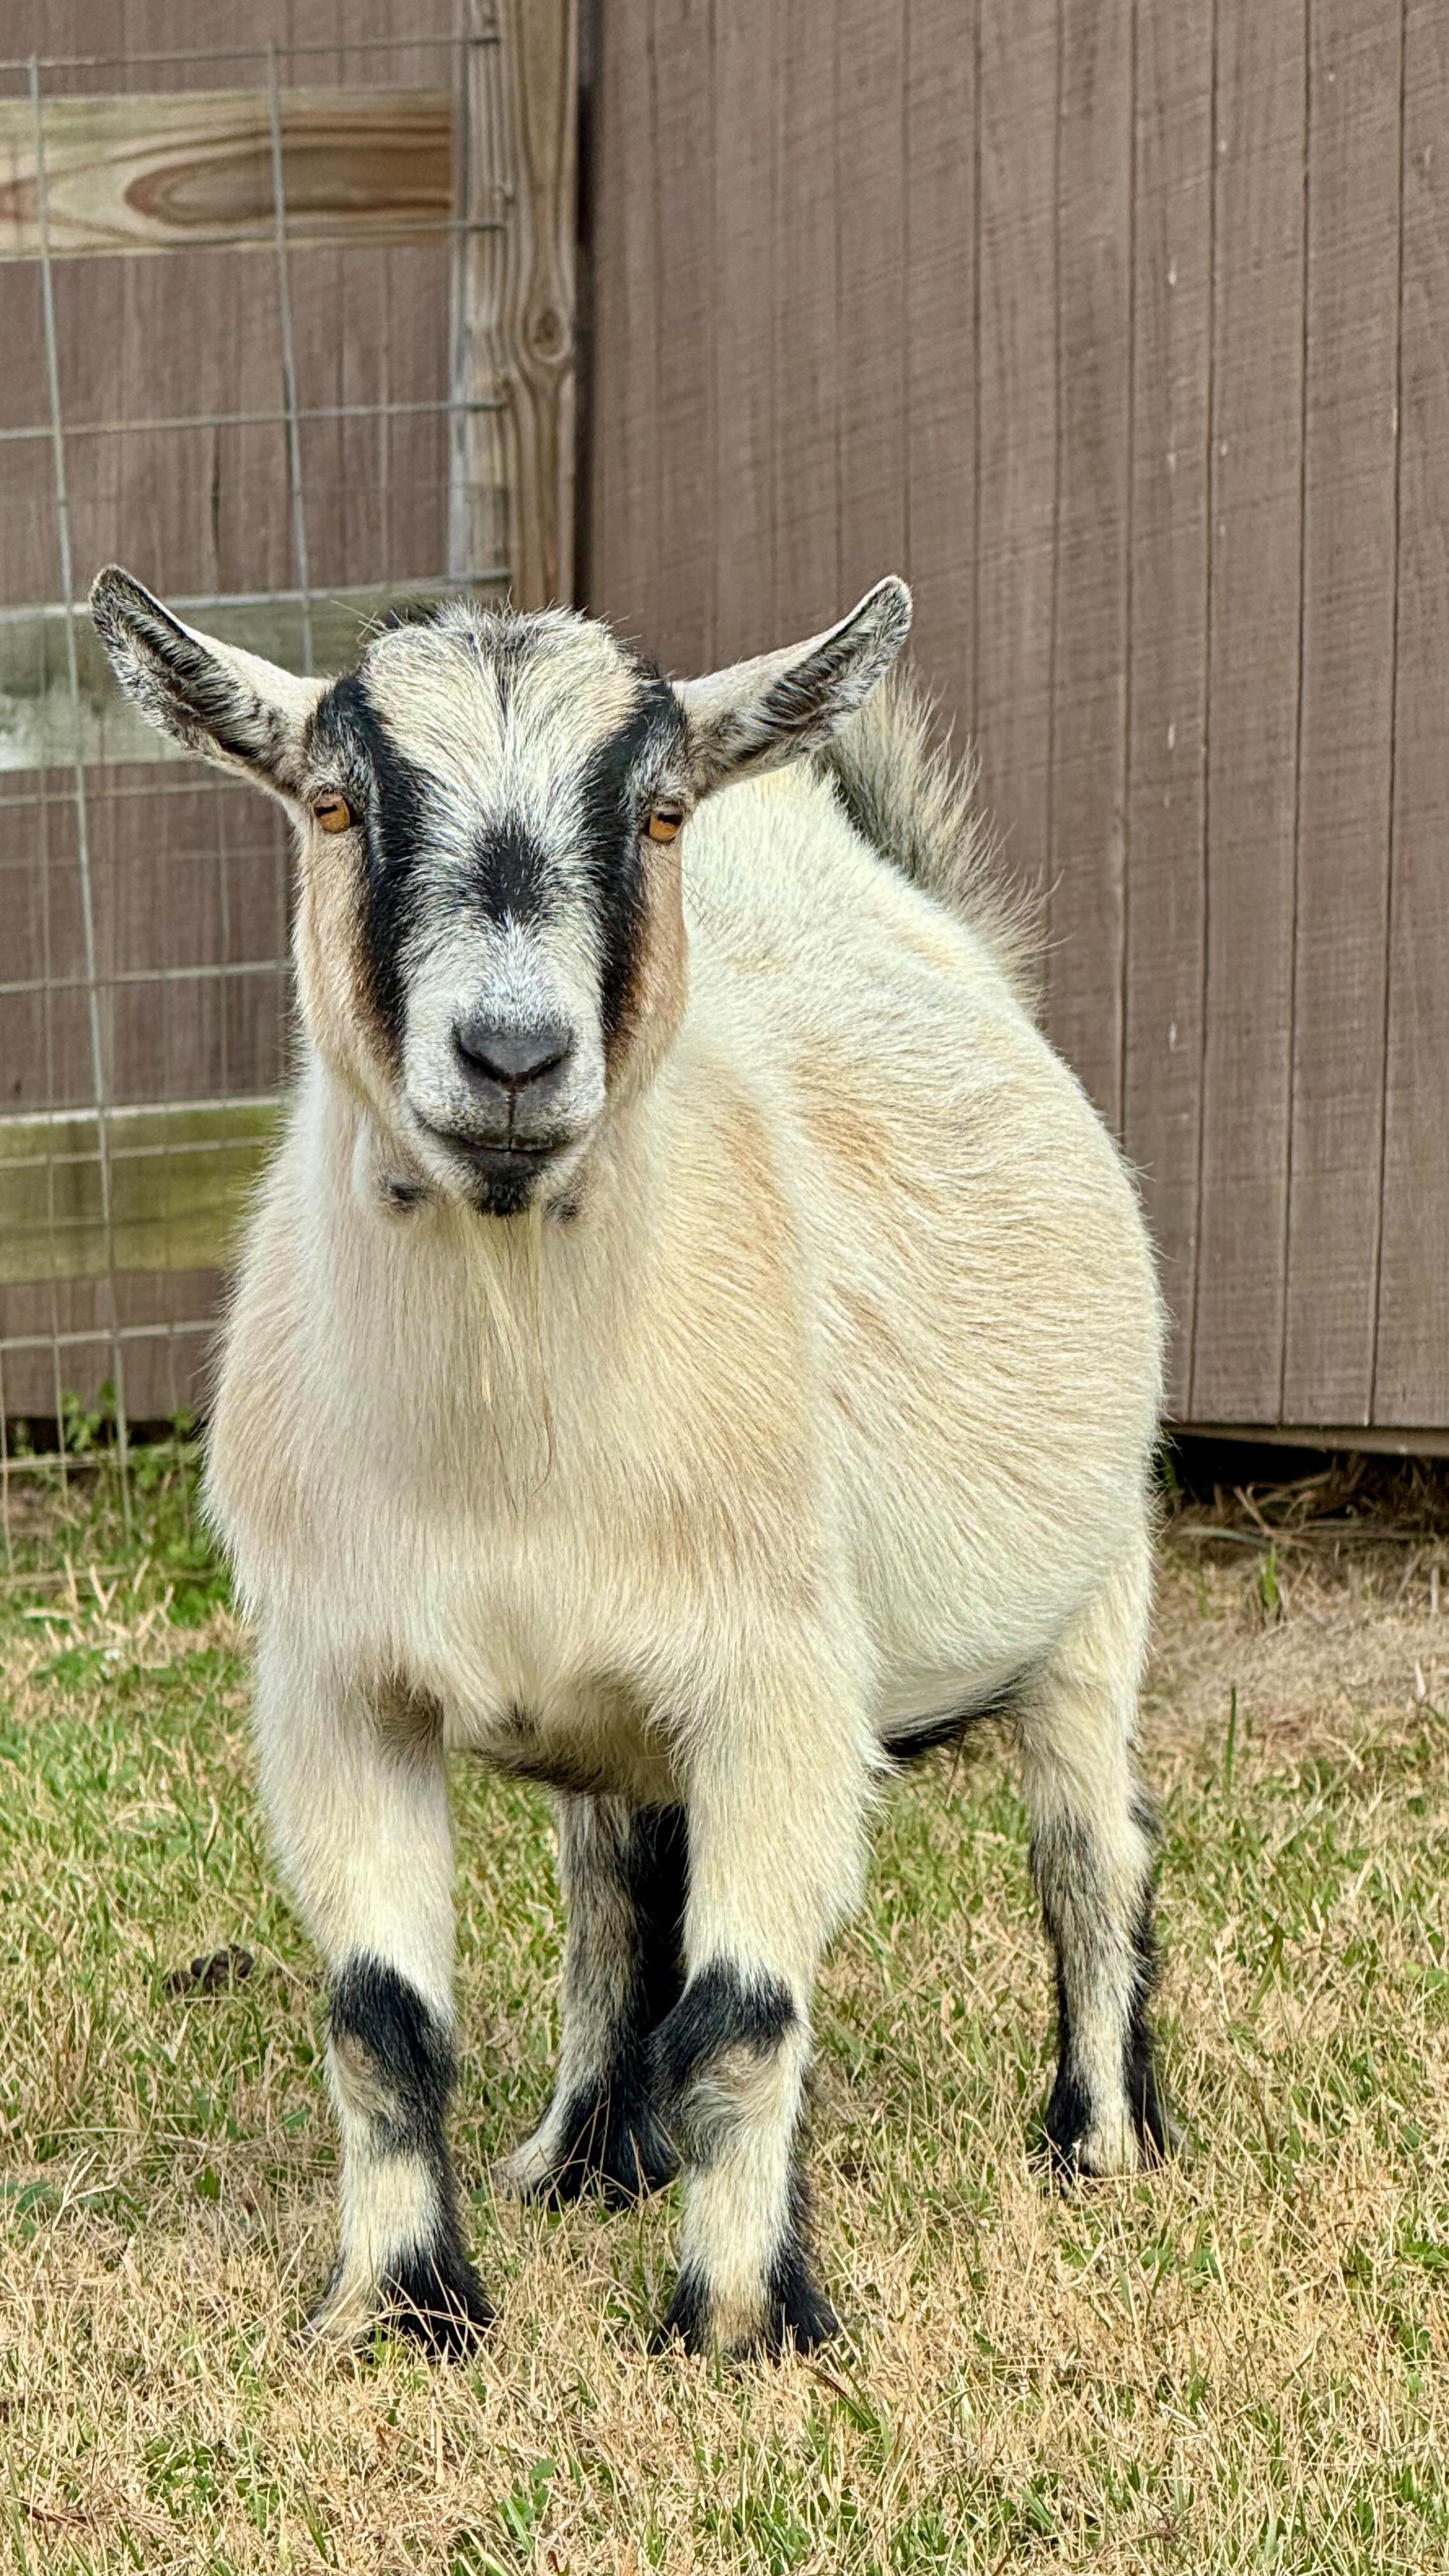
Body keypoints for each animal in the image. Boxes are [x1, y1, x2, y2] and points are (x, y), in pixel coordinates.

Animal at [91, 564, 1168, 2360]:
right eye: (334, 804)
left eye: (657, 813)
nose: (513, 1057)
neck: (509, 1453)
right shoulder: (335, 1680)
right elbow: (380, 2020)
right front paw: (396, 2310)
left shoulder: (782, 1680)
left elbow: (743, 2013)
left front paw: (736, 2327)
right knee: (615, 1887)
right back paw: (588, 2153)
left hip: (1103, 1582)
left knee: (1092, 1848)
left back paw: (1101, 2141)